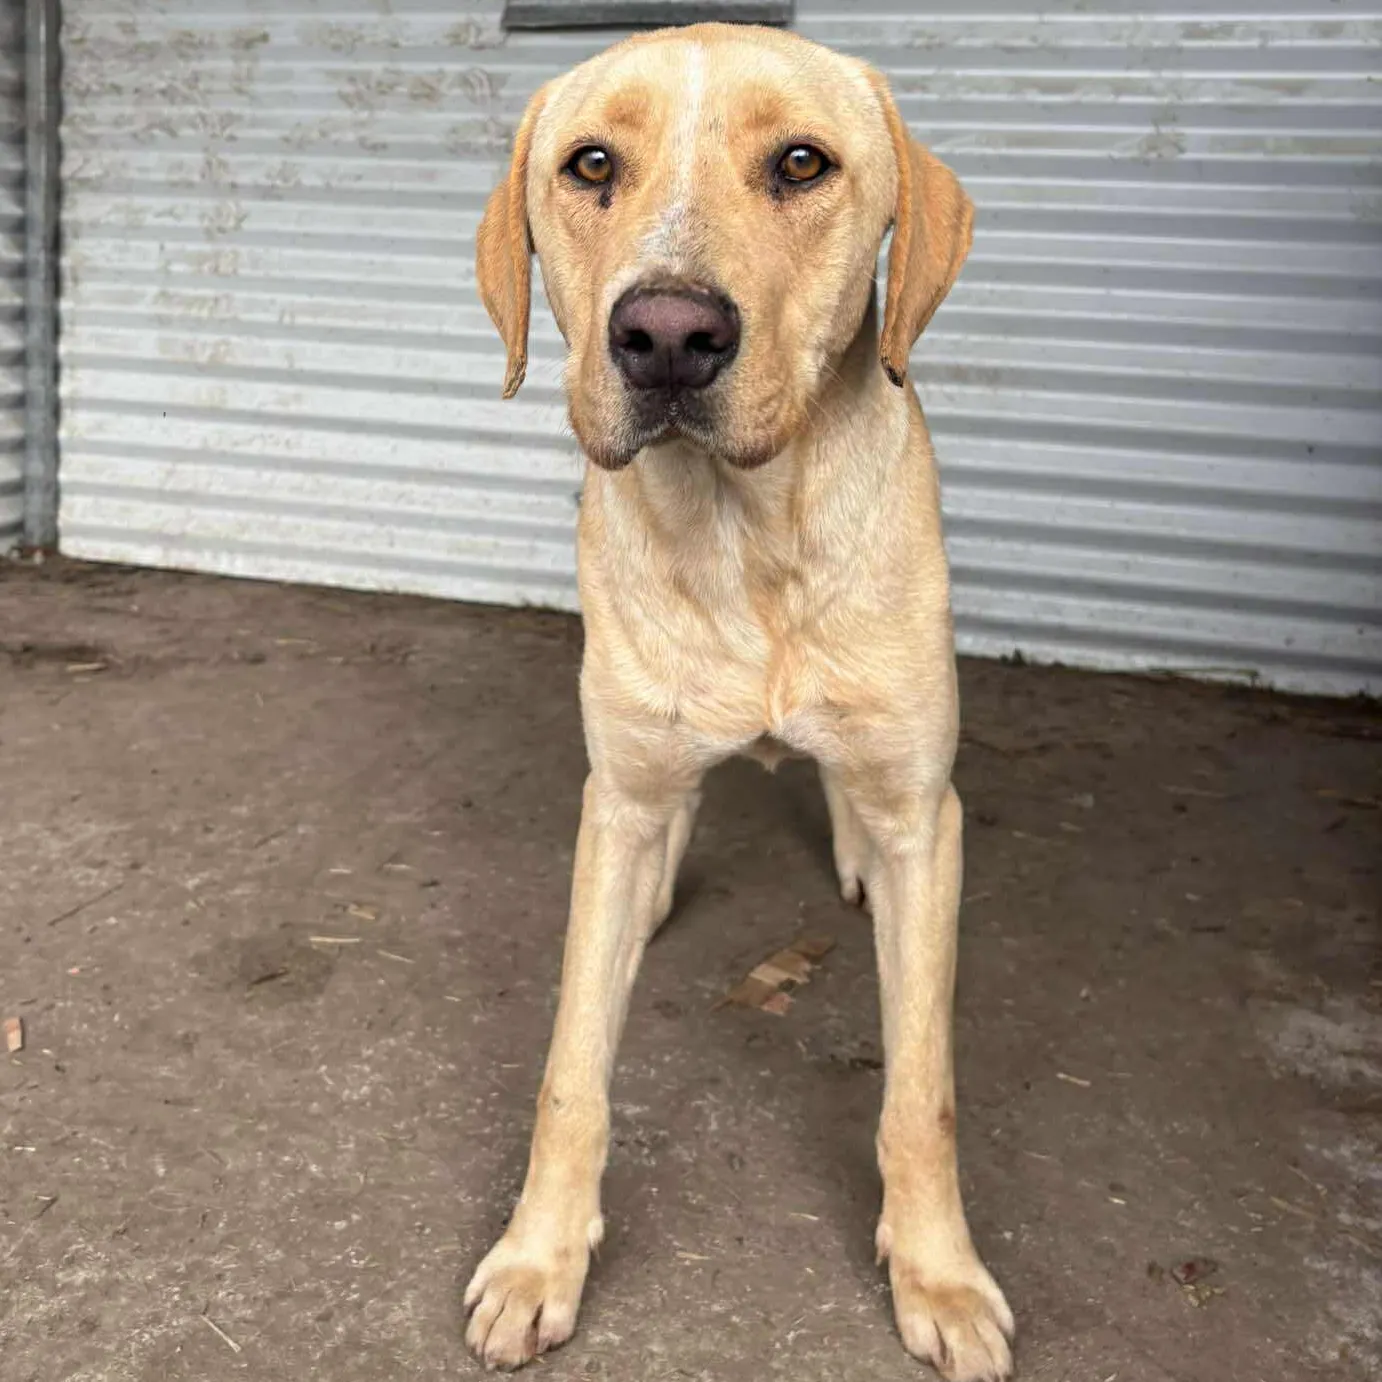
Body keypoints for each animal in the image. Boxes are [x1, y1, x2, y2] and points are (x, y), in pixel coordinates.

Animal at [465, 24, 1013, 1382]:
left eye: (802, 163)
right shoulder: (615, 796)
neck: (744, 534)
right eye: (589, 163)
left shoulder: (930, 814)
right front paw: (538, 1255)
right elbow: (571, 1067)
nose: (664, 334)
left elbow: (919, 1087)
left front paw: (938, 1269)